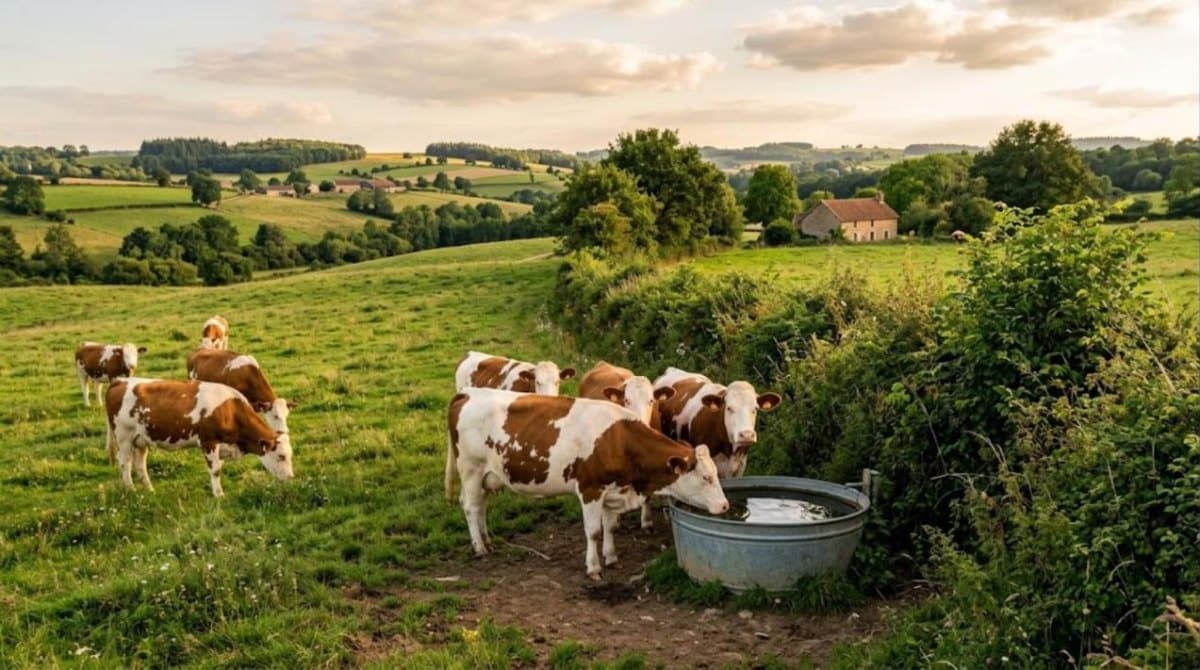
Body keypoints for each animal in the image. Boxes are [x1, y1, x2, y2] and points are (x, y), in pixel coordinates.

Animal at [105, 378, 293, 497]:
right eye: (281, 456)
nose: (291, 478)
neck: (229, 410)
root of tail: (120, 381)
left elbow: (218, 468)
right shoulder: (208, 441)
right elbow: (215, 470)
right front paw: (219, 495)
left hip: (141, 439)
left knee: (140, 465)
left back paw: (150, 490)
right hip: (124, 437)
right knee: (125, 464)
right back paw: (131, 490)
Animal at [445, 388, 728, 580]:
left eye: (716, 473)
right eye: (706, 477)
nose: (725, 506)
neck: (619, 440)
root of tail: (467, 392)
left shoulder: (612, 490)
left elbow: (610, 527)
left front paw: (611, 557)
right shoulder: (590, 489)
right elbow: (593, 531)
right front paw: (593, 568)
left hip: (487, 475)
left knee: (481, 506)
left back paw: (487, 540)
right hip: (471, 469)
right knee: (470, 506)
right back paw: (479, 547)